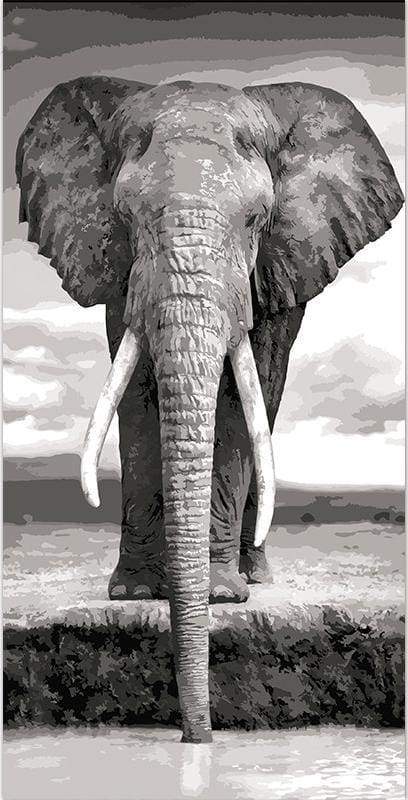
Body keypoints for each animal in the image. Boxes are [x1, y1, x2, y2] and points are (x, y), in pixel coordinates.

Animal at [16, 77, 403, 742]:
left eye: (257, 220)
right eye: (126, 216)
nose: (197, 736)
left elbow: (234, 400)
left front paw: (221, 598)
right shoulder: (120, 271)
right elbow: (138, 393)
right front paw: (135, 594)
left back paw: (253, 578)